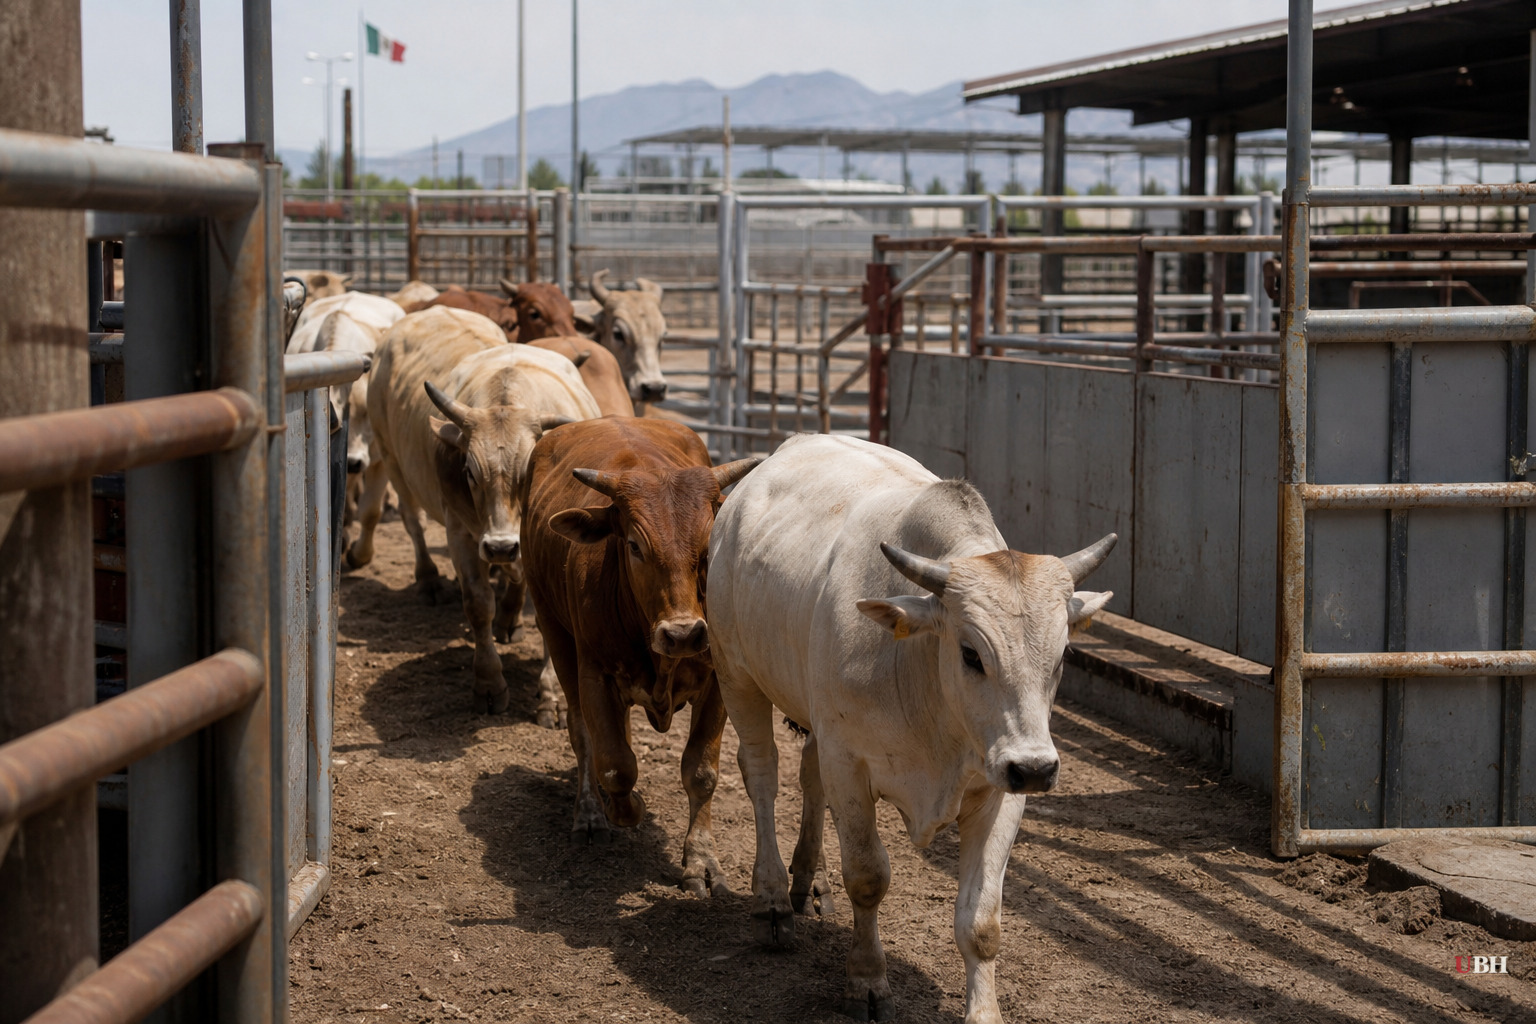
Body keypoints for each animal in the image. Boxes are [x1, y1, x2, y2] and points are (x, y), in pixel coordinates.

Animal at [348, 305, 601, 712]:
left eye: (530, 470)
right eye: (469, 471)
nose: (500, 546)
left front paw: (553, 695)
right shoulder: (461, 534)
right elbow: (479, 604)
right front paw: (488, 683)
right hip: (391, 460)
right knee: (412, 522)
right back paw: (430, 580)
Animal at [521, 416, 758, 894]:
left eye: (709, 546)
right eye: (634, 545)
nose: (683, 634)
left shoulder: (718, 683)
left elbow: (700, 771)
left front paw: (702, 861)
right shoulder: (593, 674)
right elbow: (615, 765)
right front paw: (624, 808)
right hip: (553, 629)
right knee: (582, 734)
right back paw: (590, 814)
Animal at [706, 434, 1116, 1024]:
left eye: (1062, 656)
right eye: (971, 653)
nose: (1036, 768)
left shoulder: (1001, 789)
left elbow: (981, 919)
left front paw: (983, 1012)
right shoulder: (850, 766)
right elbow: (868, 877)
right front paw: (866, 980)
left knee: (807, 776)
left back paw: (809, 880)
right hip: (735, 672)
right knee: (761, 772)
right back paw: (774, 900)